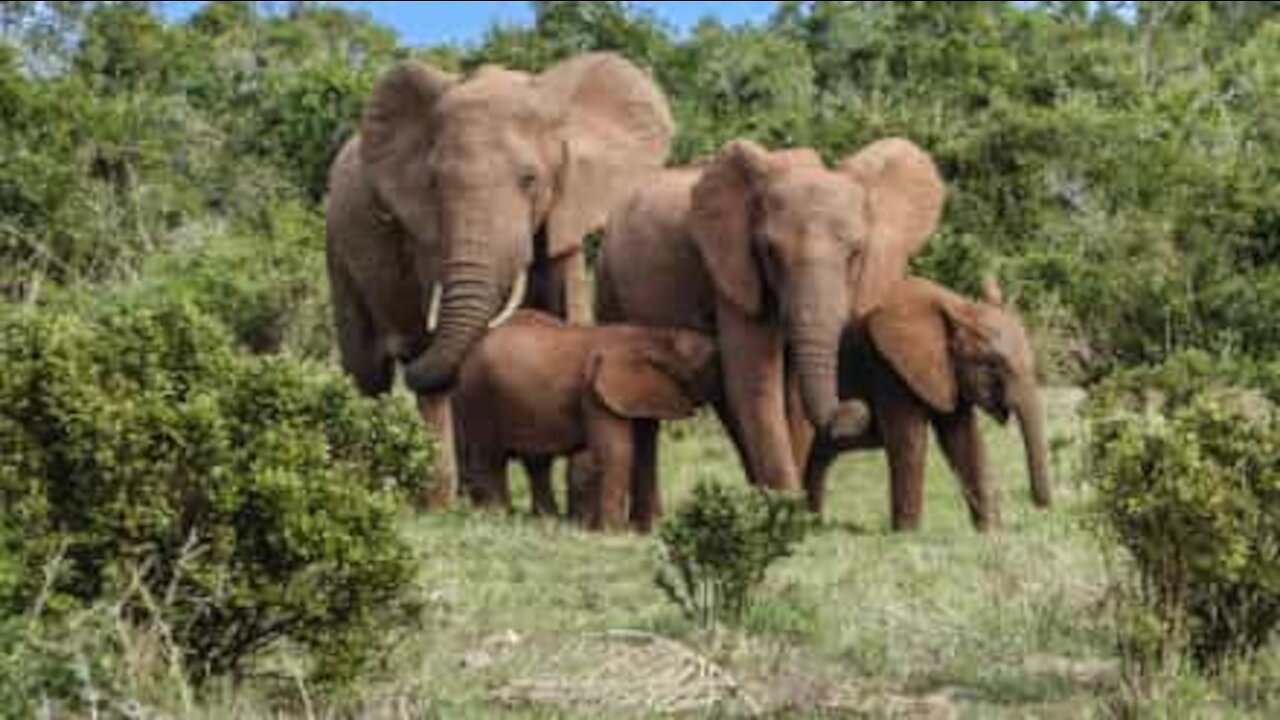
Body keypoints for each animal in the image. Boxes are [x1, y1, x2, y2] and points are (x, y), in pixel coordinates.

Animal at [325, 51, 675, 504]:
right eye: (434, 183)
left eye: (530, 180)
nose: (408, 347)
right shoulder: (428, 237)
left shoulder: (568, 206)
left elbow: (571, 314)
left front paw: (575, 503)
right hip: (337, 247)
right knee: (368, 374)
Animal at [450, 307, 716, 527]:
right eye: (706, 368)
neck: (654, 337)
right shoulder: (595, 391)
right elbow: (616, 451)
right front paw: (611, 533)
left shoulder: (641, 395)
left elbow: (646, 452)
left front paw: (647, 530)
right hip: (479, 394)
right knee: (490, 458)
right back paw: (498, 518)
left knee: (536, 462)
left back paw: (547, 520)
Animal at [593, 137, 947, 489]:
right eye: (770, 252)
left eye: (856, 253)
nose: (855, 409)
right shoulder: (734, 272)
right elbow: (756, 383)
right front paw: (786, 500)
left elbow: (792, 395)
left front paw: (790, 499)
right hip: (608, 278)